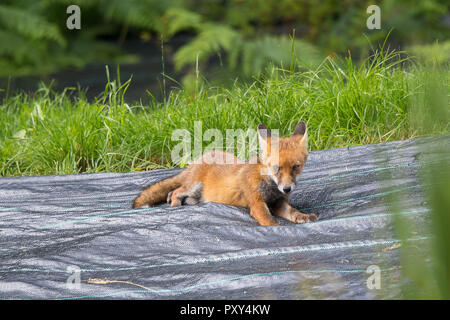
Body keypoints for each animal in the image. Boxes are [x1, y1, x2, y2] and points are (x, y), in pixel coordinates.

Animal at [132, 121, 318, 226]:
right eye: (276, 168)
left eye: (296, 167)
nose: (287, 189)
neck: (269, 185)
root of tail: (202, 156)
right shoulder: (257, 204)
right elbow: (270, 221)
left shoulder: (279, 202)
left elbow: (292, 212)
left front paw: (302, 216)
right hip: (192, 186)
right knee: (176, 191)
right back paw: (175, 205)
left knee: (173, 192)